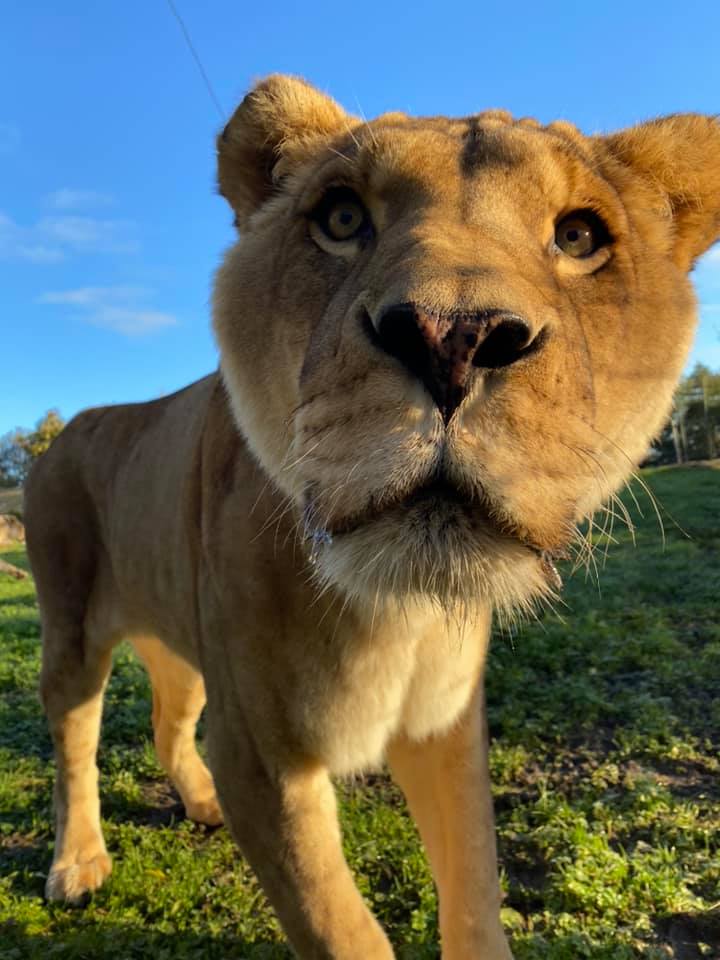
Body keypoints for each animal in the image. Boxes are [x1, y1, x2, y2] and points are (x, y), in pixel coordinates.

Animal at [23, 77, 720, 960]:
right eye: (343, 217)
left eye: (578, 235)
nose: (454, 338)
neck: (399, 610)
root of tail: (69, 429)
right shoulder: (262, 756)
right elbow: (342, 929)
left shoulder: (447, 726)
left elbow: (475, 891)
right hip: (71, 632)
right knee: (74, 742)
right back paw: (78, 863)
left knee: (166, 719)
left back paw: (198, 803)